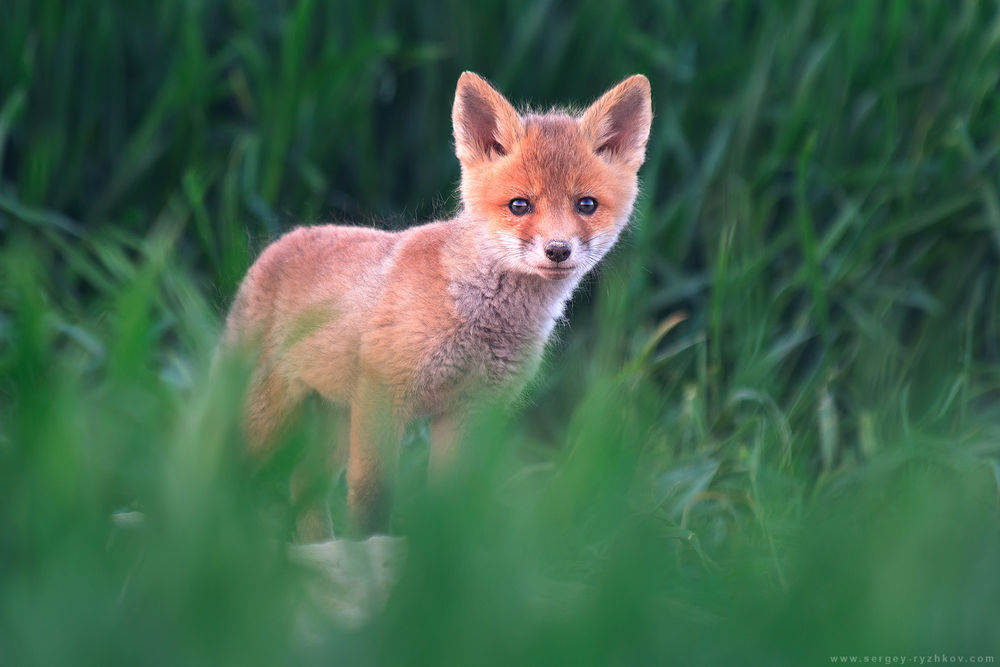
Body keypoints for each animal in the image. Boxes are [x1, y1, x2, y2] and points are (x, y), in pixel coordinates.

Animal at [223, 73, 652, 540]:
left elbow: (450, 504)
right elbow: (373, 494)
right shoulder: (383, 395)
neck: (476, 318)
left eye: (586, 204)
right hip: (269, 419)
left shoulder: (467, 412)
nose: (558, 250)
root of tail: (279, 245)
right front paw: (367, 548)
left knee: (302, 481)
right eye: (520, 205)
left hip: (335, 419)